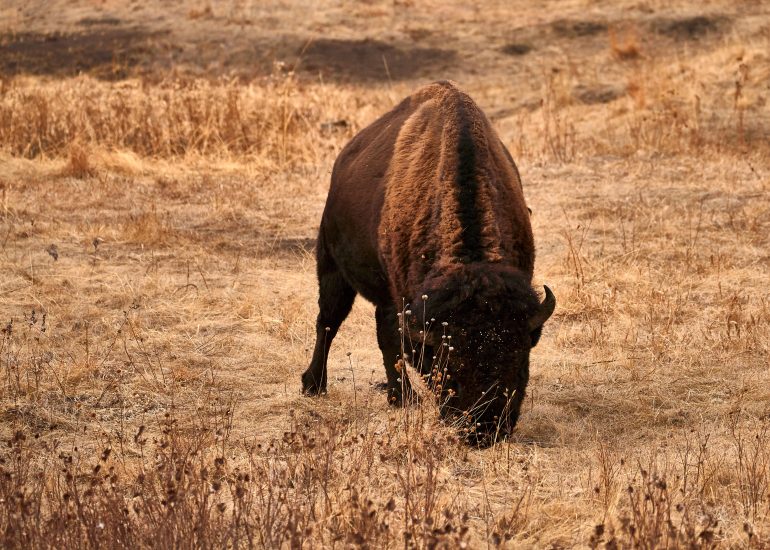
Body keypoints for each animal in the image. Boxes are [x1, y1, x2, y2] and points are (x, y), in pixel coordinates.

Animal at [301, 81, 555, 445]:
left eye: (519, 360)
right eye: (452, 365)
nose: (483, 430)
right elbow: (401, 345)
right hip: (333, 270)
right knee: (328, 323)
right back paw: (317, 385)